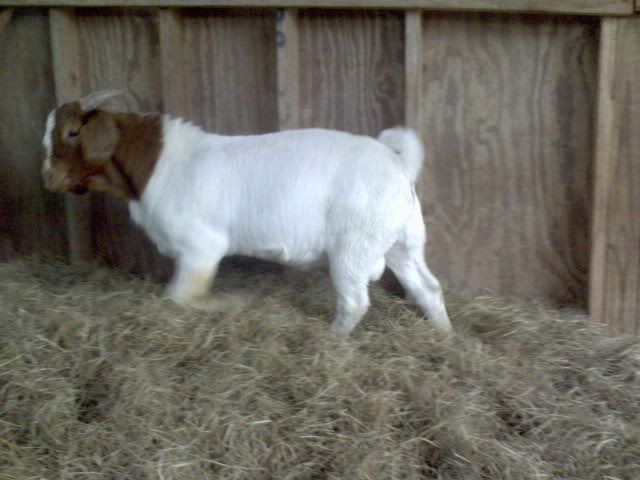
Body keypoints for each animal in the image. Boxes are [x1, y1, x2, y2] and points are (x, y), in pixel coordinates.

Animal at [41, 90, 451, 335]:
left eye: (73, 132)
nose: (47, 177)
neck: (157, 164)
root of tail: (399, 163)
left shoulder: (201, 248)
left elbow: (179, 296)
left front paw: (228, 303)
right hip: (402, 242)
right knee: (428, 287)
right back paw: (444, 336)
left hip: (354, 246)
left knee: (354, 300)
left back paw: (332, 338)